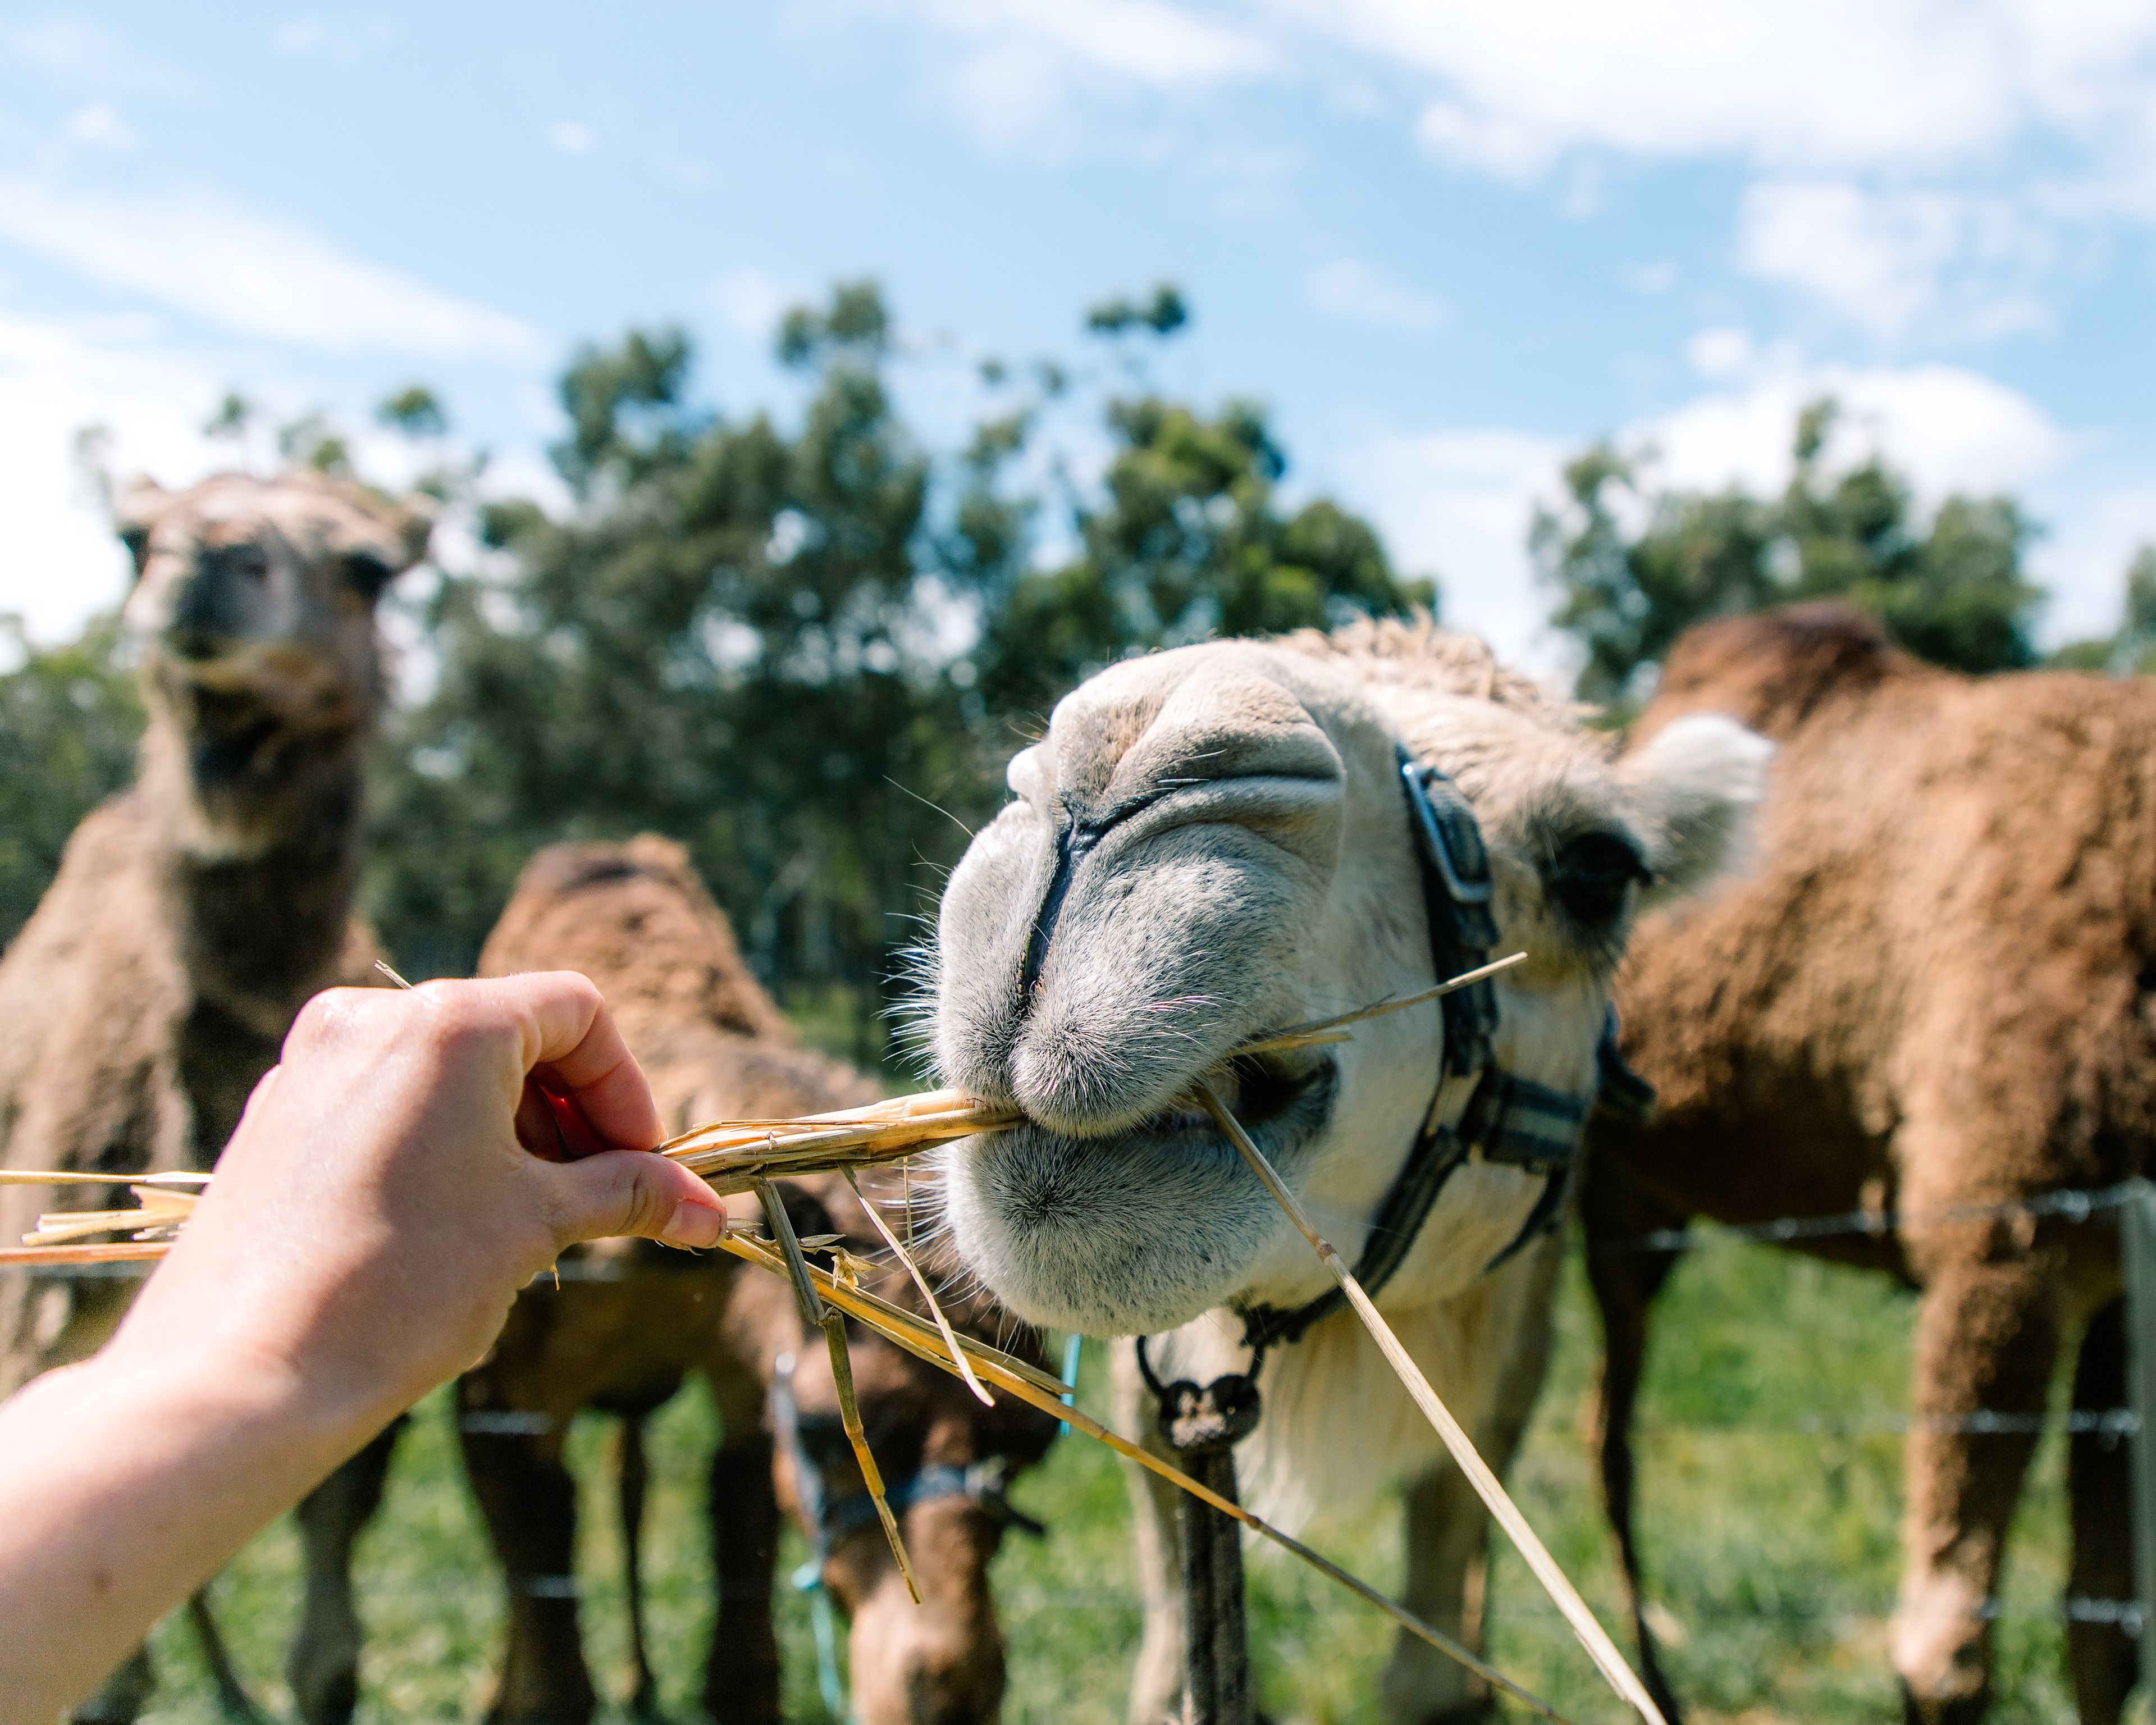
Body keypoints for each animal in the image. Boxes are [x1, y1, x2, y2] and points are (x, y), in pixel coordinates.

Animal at [0, 470, 428, 1722]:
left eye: (370, 566)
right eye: (133, 538)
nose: (205, 561)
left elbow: (330, 1657)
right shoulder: (51, 1329)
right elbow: (107, 1670)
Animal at [289, 837, 1057, 1725]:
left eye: (1033, 1445)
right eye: (825, 1429)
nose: (952, 1691)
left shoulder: (745, 1369)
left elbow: (740, 1646)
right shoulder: (500, 1397)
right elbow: (549, 1645)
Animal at [1583, 602, 2156, 1725]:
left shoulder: (2117, 1275)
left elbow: (2104, 1633)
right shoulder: (1999, 1248)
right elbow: (1944, 1652)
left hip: (1629, 1205)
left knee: (1600, 1433)